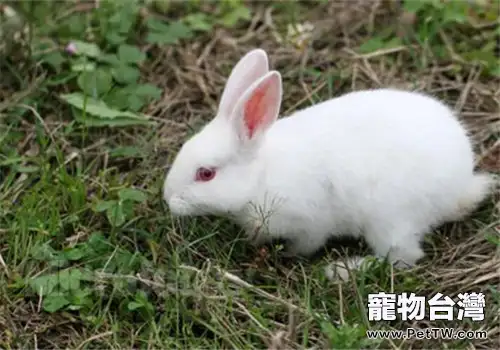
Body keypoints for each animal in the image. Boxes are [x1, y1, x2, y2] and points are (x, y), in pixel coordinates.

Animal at [162, 49, 494, 278]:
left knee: (401, 258)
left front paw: (290, 256)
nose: (168, 199)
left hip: (389, 219)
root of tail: (459, 188)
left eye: (206, 173)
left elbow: (307, 243)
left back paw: (342, 270)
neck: (261, 176)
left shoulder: (309, 222)